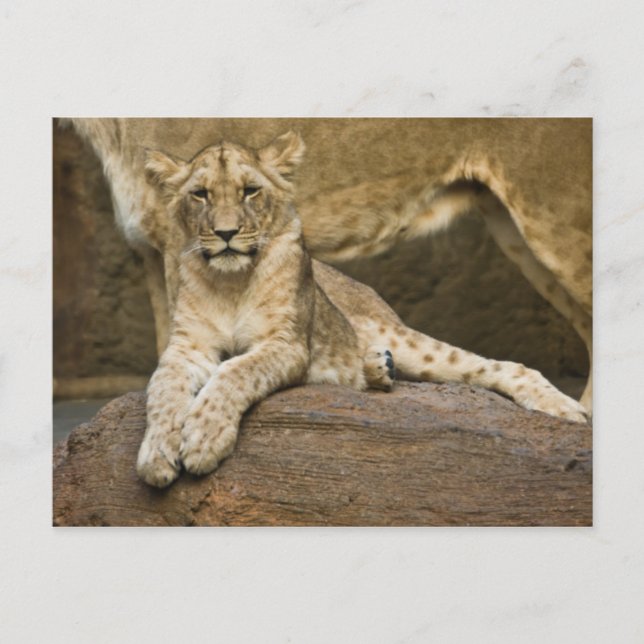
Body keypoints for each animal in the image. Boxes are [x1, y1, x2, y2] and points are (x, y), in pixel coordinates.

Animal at [65, 118, 592, 410]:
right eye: (201, 194)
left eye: (250, 191)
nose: (229, 231)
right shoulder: (158, 249)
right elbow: (170, 346)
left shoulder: (176, 244)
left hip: (555, 211)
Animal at [135, 132, 587, 488]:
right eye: (200, 194)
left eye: (250, 191)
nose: (226, 233)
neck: (230, 283)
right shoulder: (186, 347)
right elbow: (162, 389)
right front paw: (157, 453)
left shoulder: (287, 344)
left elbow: (235, 372)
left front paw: (203, 438)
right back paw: (376, 369)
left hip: (409, 342)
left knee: (498, 367)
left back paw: (567, 409)